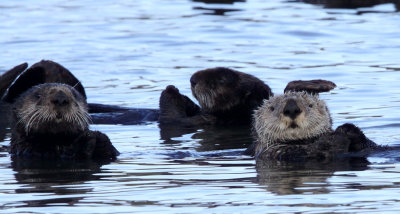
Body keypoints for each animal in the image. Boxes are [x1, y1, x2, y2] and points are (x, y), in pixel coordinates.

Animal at [247, 79, 382, 160]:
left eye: (310, 105)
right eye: (272, 108)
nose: (291, 108)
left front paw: (347, 129)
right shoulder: (275, 153)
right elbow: (317, 150)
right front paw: (339, 134)